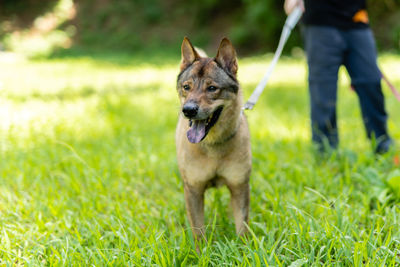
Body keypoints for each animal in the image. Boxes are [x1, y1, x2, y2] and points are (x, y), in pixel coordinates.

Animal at [176, 36, 252, 240]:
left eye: (212, 88)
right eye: (186, 87)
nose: (188, 110)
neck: (213, 145)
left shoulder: (239, 186)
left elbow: (242, 227)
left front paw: (243, 247)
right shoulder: (193, 189)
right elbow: (198, 231)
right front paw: (201, 249)